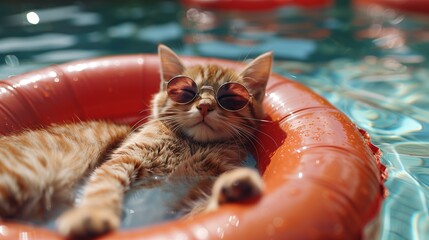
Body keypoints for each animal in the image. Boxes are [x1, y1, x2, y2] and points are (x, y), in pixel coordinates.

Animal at [0, 45, 272, 238]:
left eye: (229, 97)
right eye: (186, 92)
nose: (205, 106)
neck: (193, 146)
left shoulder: (185, 202)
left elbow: (200, 210)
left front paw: (235, 190)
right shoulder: (123, 159)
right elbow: (103, 188)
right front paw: (92, 215)